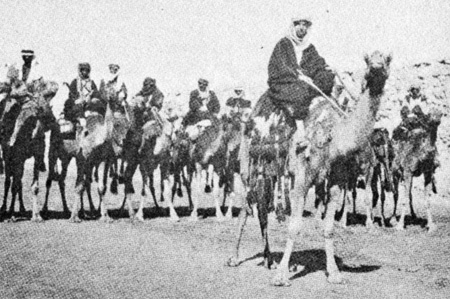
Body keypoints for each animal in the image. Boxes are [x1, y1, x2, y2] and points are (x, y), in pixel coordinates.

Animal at [270, 51, 394, 286]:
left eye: (387, 59)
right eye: (367, 59)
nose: (376, 65)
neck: (335, 139)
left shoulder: (337, 179)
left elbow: (329, 227)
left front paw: (334, 273)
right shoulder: (303, 176)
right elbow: (294, 227)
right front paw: (280, 276)